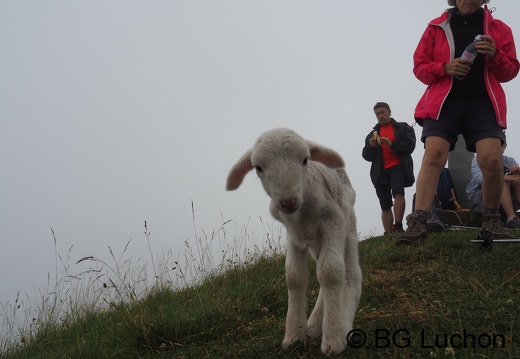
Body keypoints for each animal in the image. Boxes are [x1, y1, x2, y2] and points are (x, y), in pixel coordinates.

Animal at [223, 128, 362, 356]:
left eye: (305, 159)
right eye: (258, 168)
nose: (288, 201)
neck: (302, 214)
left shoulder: (333, 223)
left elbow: (331, 272)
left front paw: (333, 338)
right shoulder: (294, 235)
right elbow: (294, 277)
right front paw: (294, 335)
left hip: (347, 219)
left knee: (349, 271)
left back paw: (343, 321)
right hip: (316, 241)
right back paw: (314, 325)